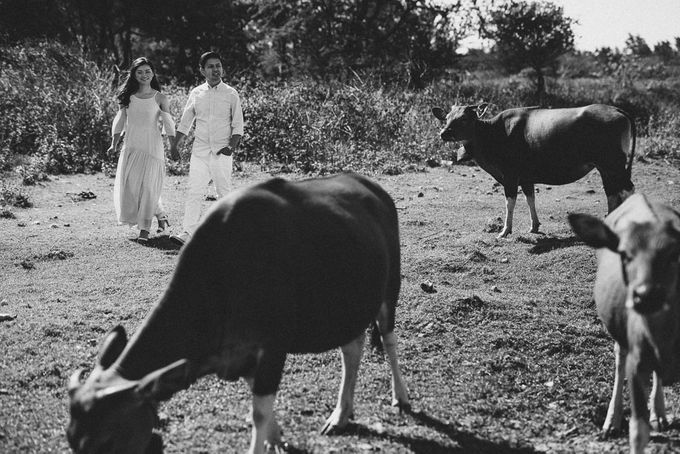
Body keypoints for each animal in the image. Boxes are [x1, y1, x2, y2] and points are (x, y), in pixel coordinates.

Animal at [67, 173, 410, 454]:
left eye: (106, 441)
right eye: (72, 440)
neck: (222, 276)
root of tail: (374, 189)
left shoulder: (273, 348)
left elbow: (259, 412)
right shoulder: (236, 356)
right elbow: (260, 409)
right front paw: (276, 436)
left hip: (389, 289)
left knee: (389, 339)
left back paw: (401, 396)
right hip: (346, 308)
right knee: (352, 350)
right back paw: (341, 414)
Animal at [432, 103, 636, 238]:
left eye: (464, 118)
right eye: (447, 118)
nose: (443, 133)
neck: (494, 133)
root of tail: (617, 110)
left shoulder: (510, 176)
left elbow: (510, 202)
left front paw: (505, 230)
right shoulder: (526, 178)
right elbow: (530, 198)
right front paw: (534, 226)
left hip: (613, 165)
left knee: (627, 190)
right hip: (607, 168)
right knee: (613, 193)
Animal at [568, 193, 680, 452]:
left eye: (674, 254)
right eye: (625, 255)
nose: (645, 295)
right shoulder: (636, 365)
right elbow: (638, 433)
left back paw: (659, 413)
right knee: (620, 361)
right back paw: (612, 420)